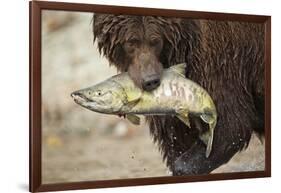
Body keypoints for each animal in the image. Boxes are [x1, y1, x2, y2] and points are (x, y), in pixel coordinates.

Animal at [92, 13, 264, 175]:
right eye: (131, 42)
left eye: (155, 41)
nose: (150, 81)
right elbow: (176, 136)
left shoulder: (219, 64)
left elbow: (231, 127)